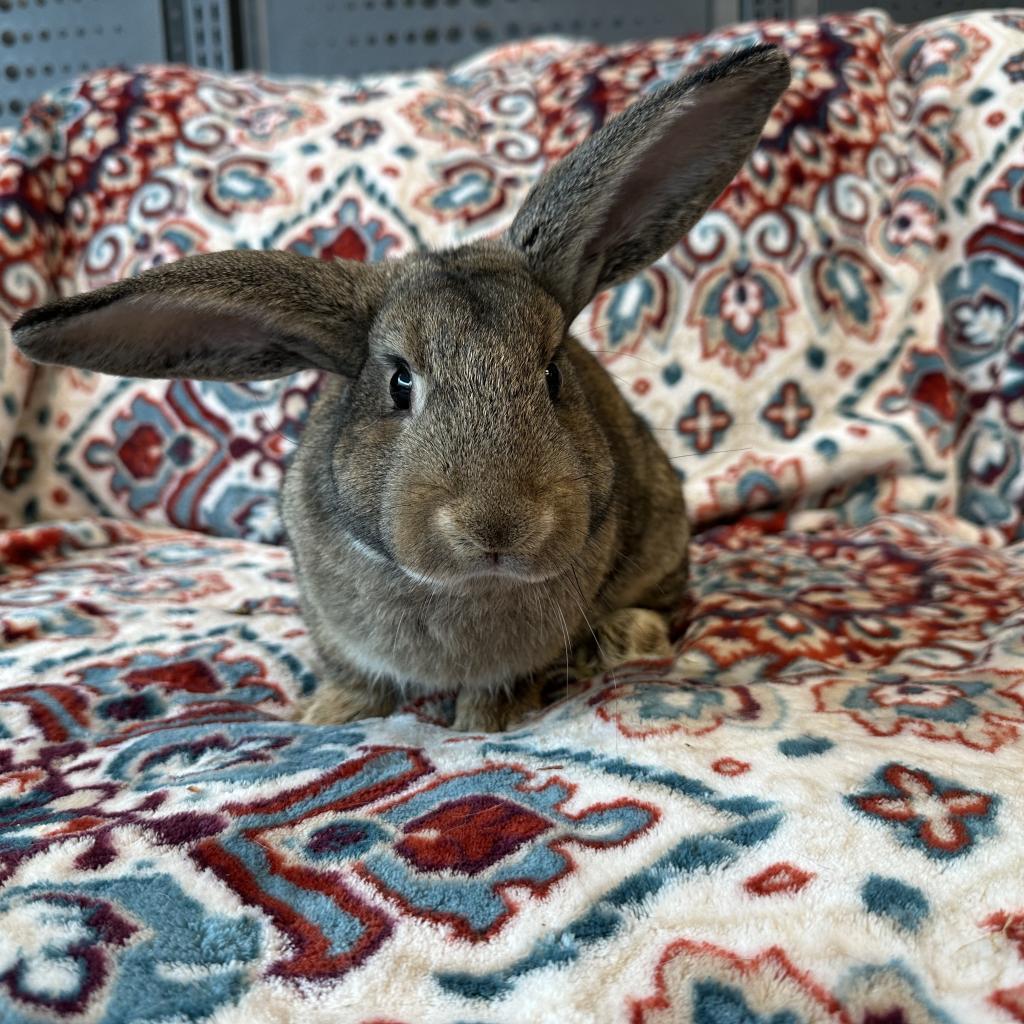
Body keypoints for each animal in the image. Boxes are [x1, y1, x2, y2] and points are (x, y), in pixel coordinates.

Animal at [12, 45, 791, 732]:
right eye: (399, 383)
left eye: (552, 374)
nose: (498, 527)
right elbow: (354, 678)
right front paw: (323, 716)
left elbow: (503, 684)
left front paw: (484, 723)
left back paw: (631, 640)